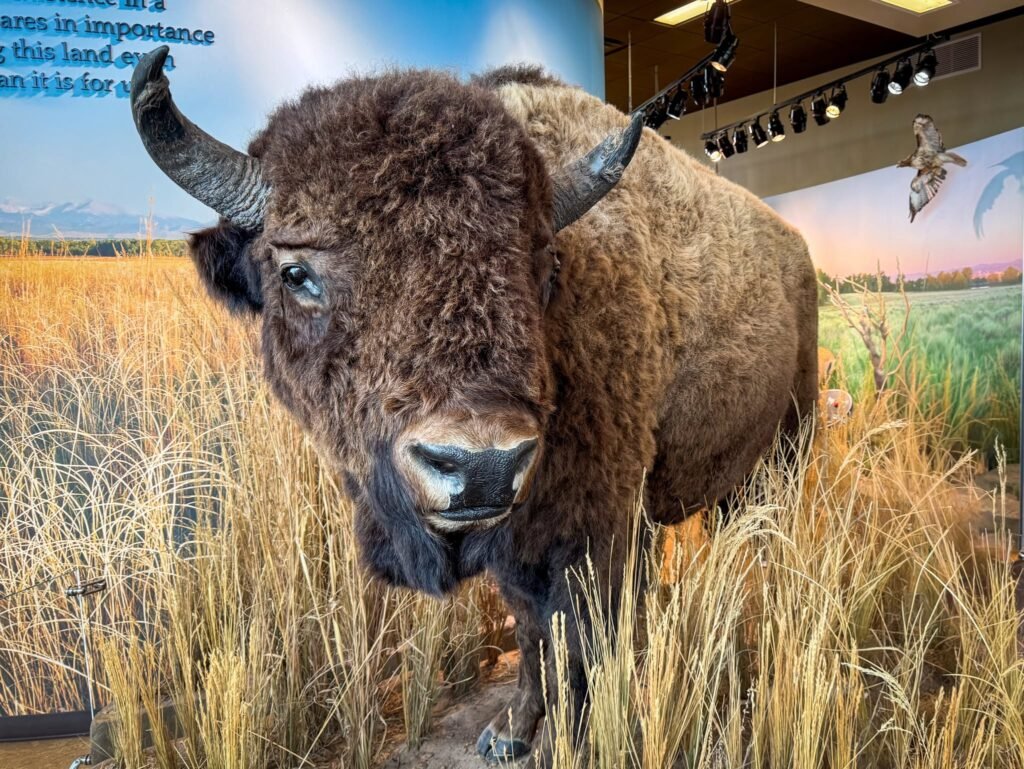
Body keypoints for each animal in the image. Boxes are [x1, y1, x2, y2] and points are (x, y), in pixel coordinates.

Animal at [130, 46, 817, 764]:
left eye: (544, 263)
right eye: (296, 274)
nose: (481, 465)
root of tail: (796, 251)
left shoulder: (601, 530)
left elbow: (584, 638)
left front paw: (583, 737)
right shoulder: (516, 539)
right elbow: (533, 629)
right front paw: (511, 730)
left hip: (788, 445)